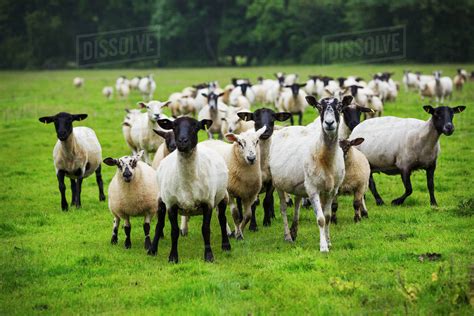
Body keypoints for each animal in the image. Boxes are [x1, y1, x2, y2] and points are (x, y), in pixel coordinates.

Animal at [147, 117, 231, 262]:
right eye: (174, 126)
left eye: (196, 127)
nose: (182, 141)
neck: (187, 182)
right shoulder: (171, 204)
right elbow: (174, 231)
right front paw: (173, 257)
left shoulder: (208, 203)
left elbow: (205, 229)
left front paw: (209, 256)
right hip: (161, 199)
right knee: (159, 224)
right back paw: (152, 250)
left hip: (223, 196)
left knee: (222, 219)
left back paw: (226, 245)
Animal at [270, 95, 352, 251]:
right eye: (319, 107)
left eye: (340, 107)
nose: (329, 123)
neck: (325, 157)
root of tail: (287, 127)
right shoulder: (313, 189)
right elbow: (320, 219)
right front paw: (323, 247)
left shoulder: (332, 190)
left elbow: (328, 217)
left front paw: (329, 242)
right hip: (279, 184)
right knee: (283, 209)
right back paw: (288, 236)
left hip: (298, 184)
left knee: (297, 205)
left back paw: (294, 231)